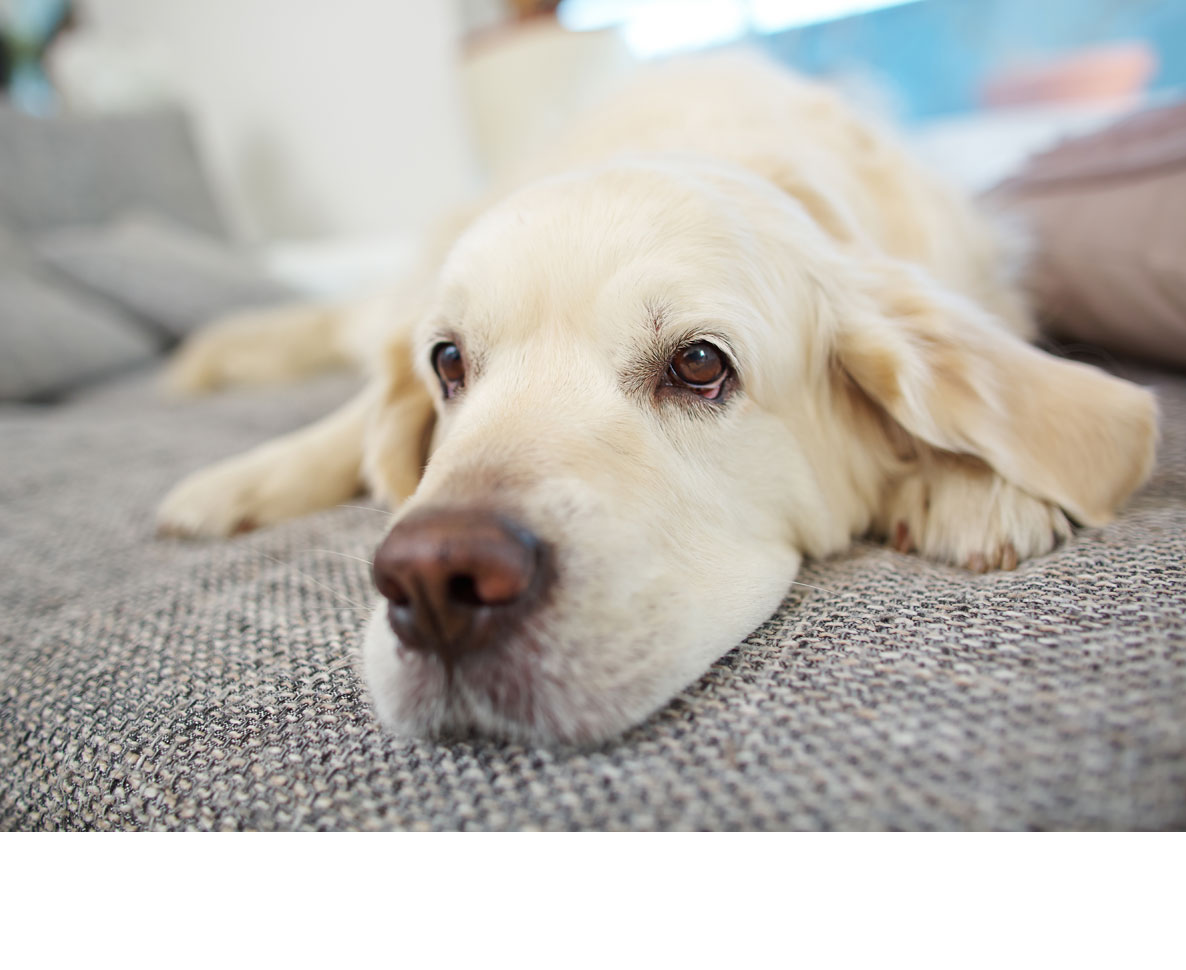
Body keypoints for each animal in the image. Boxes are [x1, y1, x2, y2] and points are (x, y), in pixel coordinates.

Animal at [157, 56, 1157, 744]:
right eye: (448, 362)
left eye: (701, 365)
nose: (434, 581)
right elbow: (365, 410)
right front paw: (250, 475)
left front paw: (975, 486)